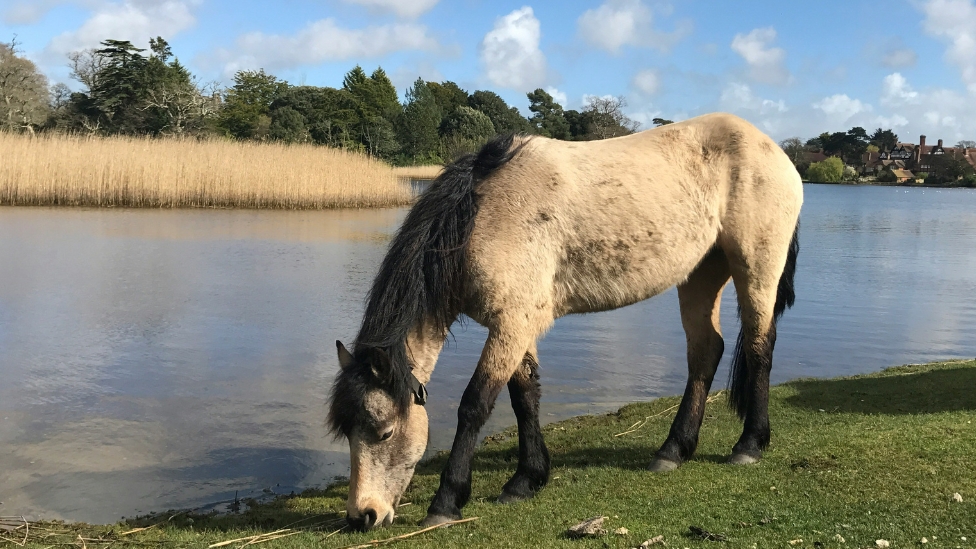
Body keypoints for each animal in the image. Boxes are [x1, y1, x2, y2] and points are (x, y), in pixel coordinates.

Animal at [328, 112, 802, 530]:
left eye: (385, 432)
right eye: (347, 432)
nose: (362, 515)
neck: (480, 215)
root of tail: (773, 150)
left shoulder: (511, 323)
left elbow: (475, 404)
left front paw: (447, 502)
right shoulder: (517, 325)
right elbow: (525, 397)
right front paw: (526, 480)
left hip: (756, 267)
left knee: (759, 345)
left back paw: (749, 445)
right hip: (702, 272)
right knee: (706, 353)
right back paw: (673, 450)